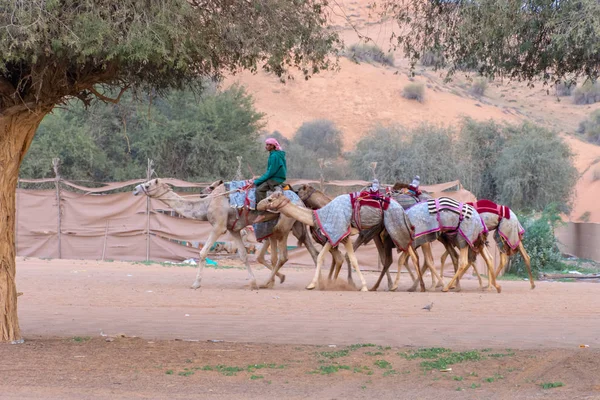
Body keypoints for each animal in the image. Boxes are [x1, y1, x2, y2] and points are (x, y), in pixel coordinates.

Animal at [131, 180, 318, 290]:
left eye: (148, 185)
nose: (135, 189)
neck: (207, 204)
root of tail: (299, 201)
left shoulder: (218, 227)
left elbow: (202, 252)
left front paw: (196, 284)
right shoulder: (233, 229)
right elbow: (243, 255)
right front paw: (252, 282)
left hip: (283, 227)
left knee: (283, 256)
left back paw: (270, 282)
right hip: (297, 226)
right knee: (313, 251)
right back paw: (316, 283)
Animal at [258, 191, 422, 290]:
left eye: (270, 198)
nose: (259, 204)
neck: (318, 214)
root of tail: (401, 208)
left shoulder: (339, 233)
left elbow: (345, 258)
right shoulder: (337, 236)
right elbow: (330, 257)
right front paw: (317, 284)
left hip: (394, 226)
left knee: (407, 254)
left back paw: (402, 286)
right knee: (407, 255)